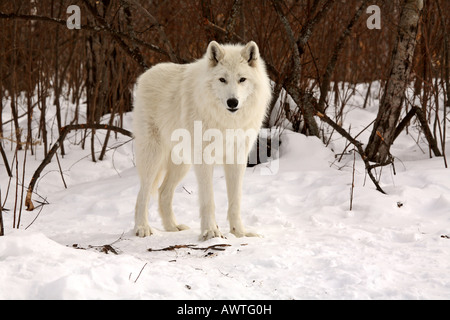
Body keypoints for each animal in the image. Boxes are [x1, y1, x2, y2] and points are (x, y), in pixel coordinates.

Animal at [131, 40, 270, 240]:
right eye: (222, 79)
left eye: (242, 79)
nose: (232, 102)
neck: (226, 122)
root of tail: (145, 74)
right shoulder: (204, 160)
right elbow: (208, 200)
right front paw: (211, 232)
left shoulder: (237, 159)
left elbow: (235, 201)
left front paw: (239, 233)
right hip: (153, 158)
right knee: (143, 194)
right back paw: (142, 228)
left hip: (182, 164)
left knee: (163, 192)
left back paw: (173, 227)